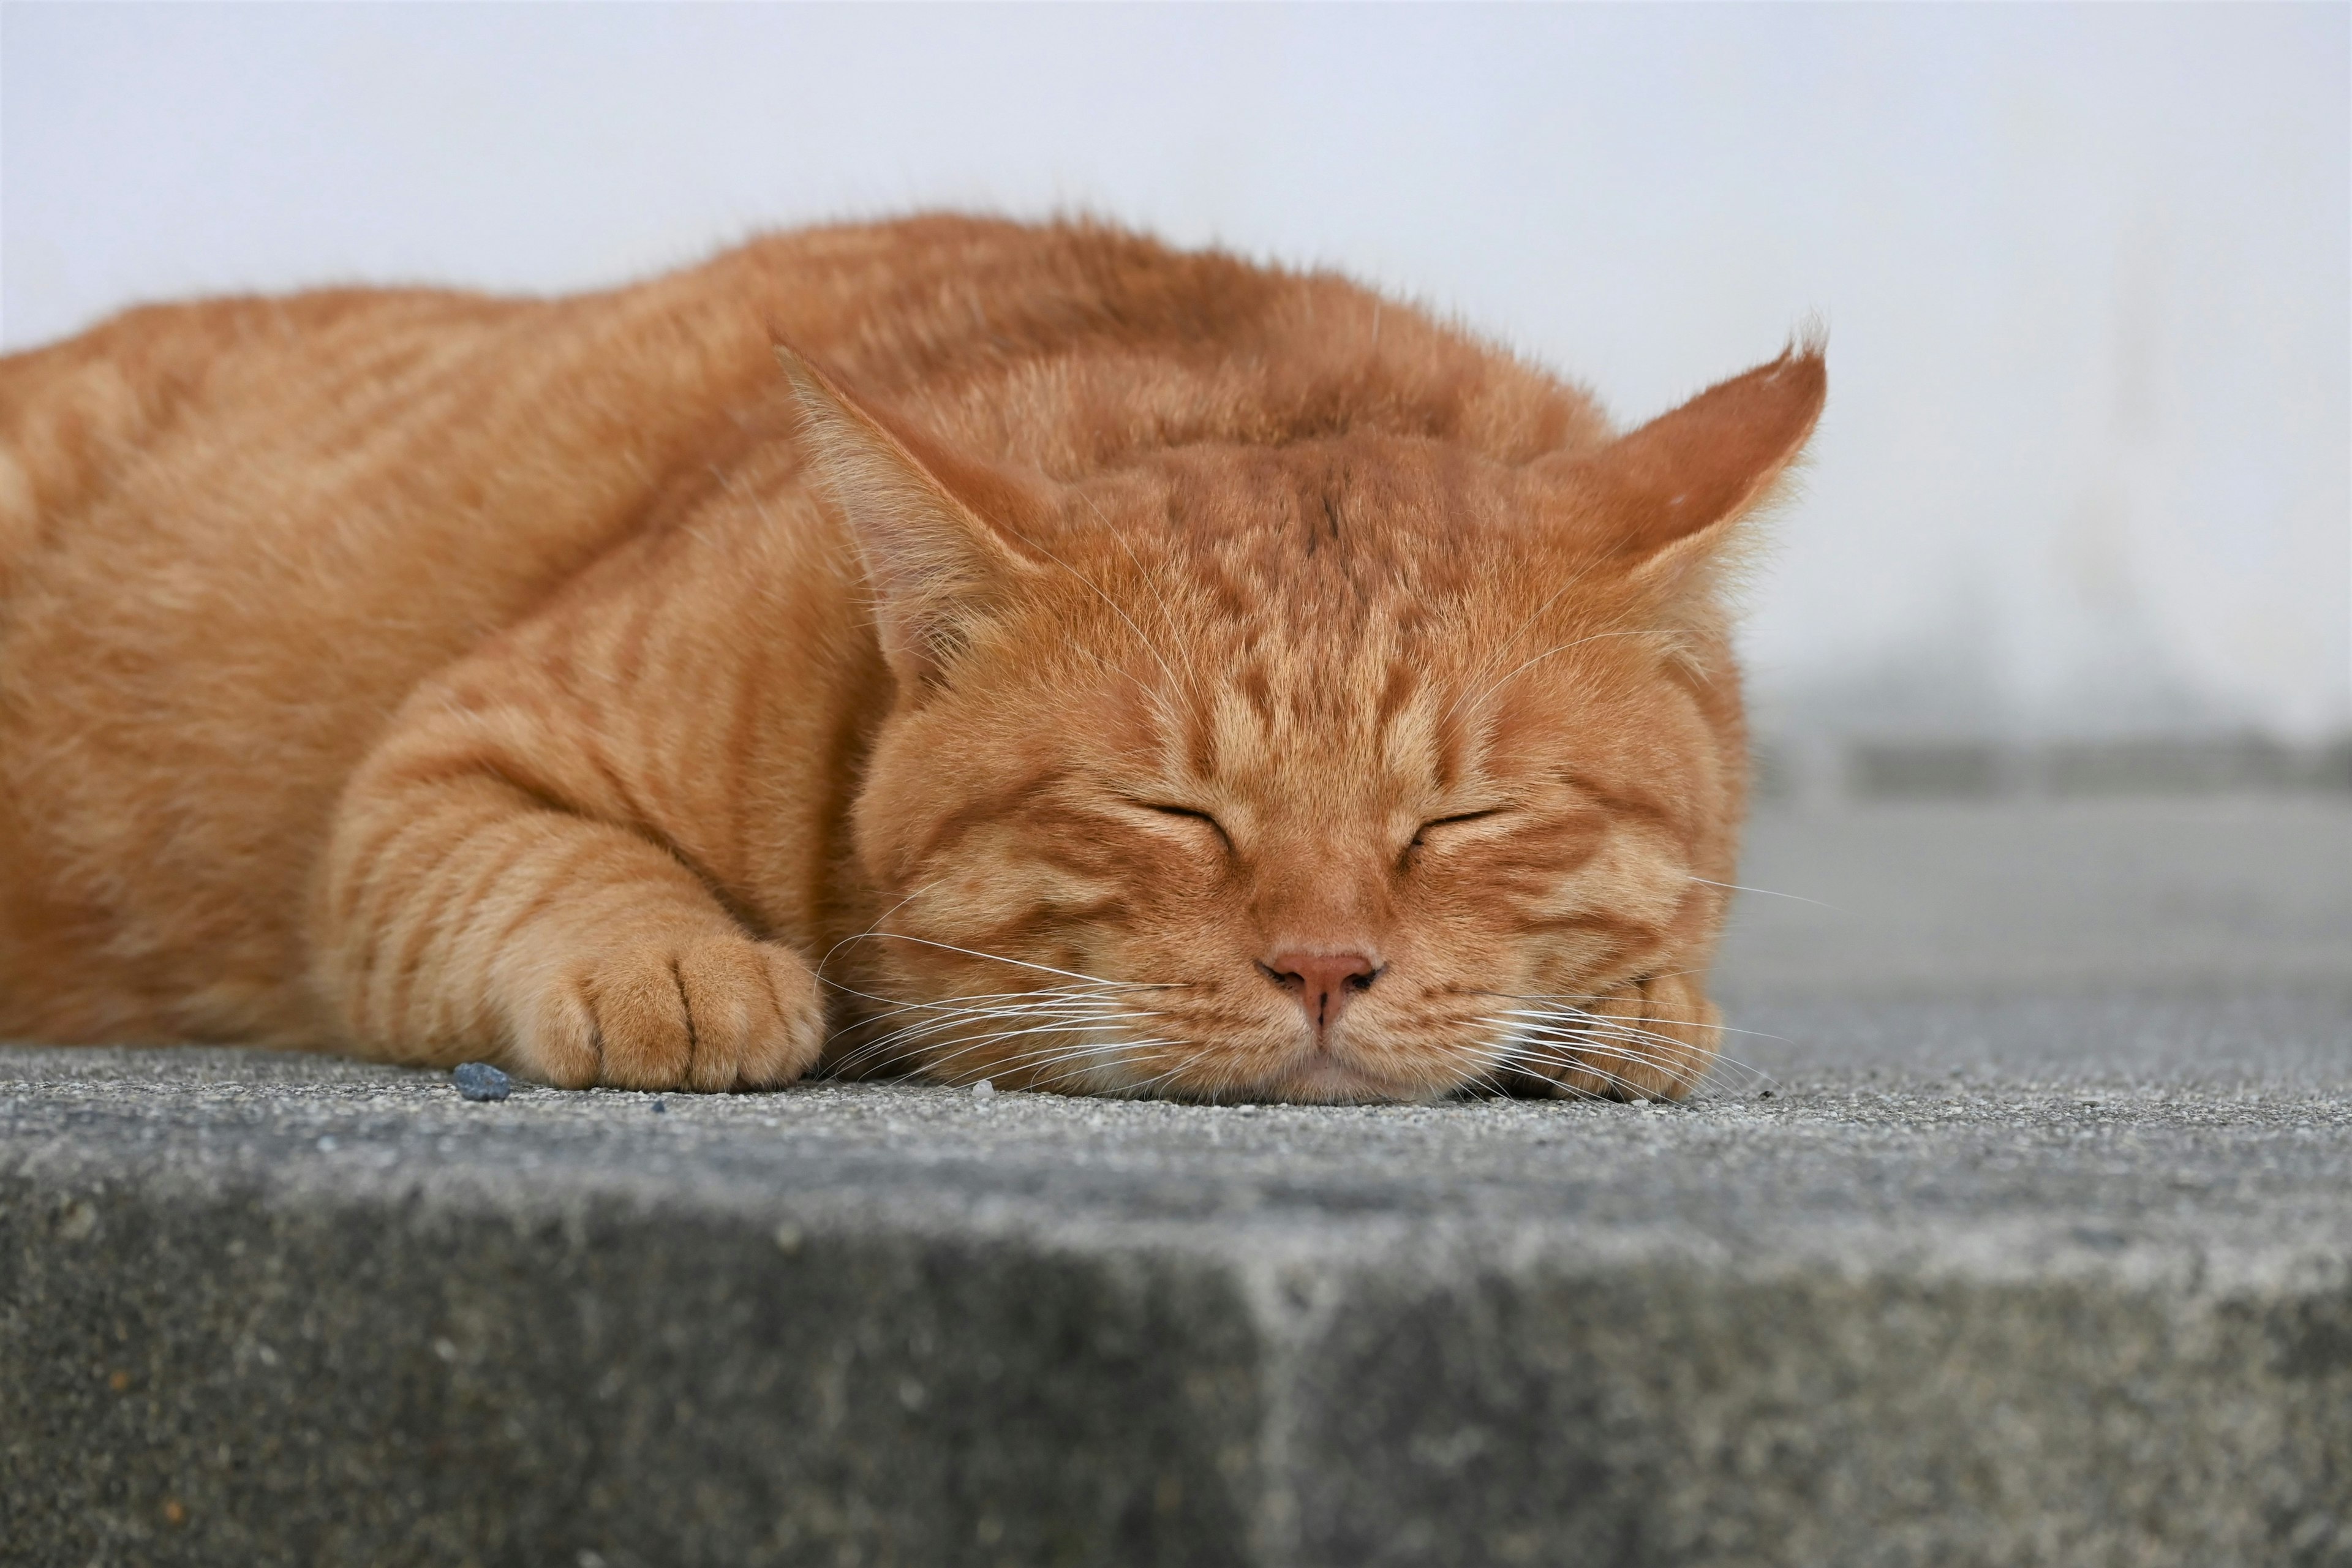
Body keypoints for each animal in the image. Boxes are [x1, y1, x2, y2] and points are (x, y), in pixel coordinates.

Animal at [0, 215, 1815, 1104]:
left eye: (1460, 821)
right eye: (1172, 812)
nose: (1322, 968)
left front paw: (1634, 1007)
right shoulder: (439, 767)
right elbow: (550, 868)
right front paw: (680, 967)